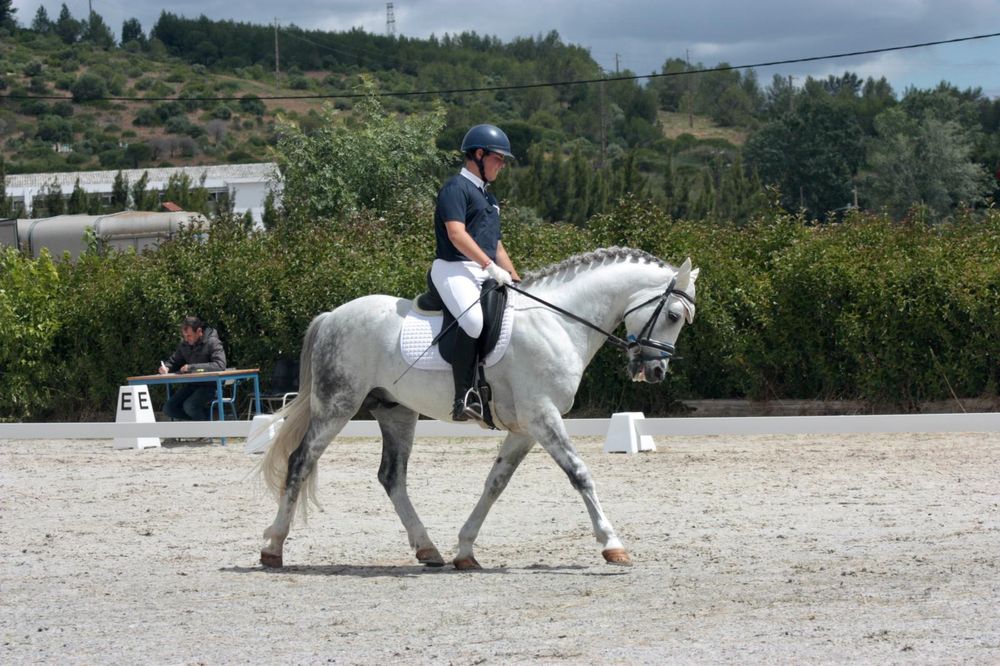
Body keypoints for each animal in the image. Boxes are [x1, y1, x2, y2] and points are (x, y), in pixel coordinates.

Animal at [259, 247, 699, 569]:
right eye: (673, 314)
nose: (655, 371)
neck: (558, 322)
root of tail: (333, 315)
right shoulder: (542, 416)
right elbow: (579, 474)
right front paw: (612, 544)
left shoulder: (525, 428)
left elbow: (495, 483)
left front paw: (465, 551)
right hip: (338, 405)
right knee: (301, 461)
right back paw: (273, 548)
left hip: (396, 411)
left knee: (392, 477)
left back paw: (429, 550)